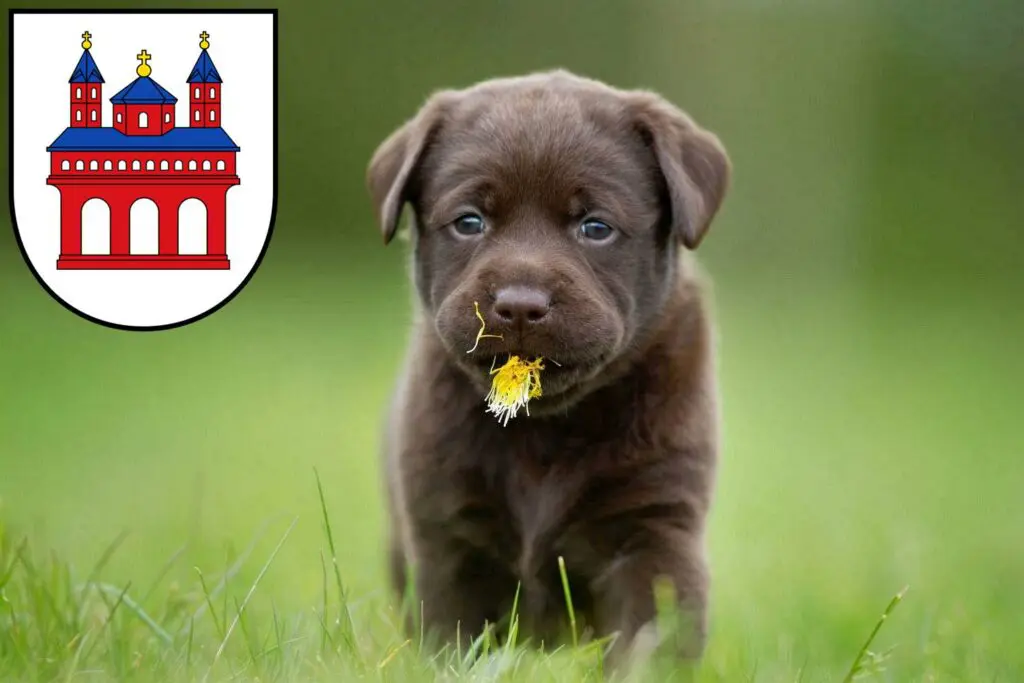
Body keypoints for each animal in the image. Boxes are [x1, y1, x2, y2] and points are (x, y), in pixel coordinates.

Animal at [368, 70, 729, 667]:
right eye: (469, 222)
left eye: (596, 227)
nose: (519, 305)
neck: (543, 428)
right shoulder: (446, 529)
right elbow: (449, 636)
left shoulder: (656, 525)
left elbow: (652, 637)